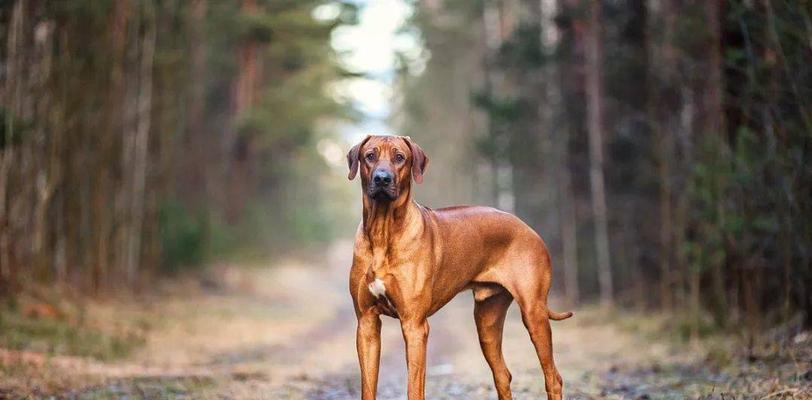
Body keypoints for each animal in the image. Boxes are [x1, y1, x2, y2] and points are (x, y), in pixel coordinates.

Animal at [348, 135, 572, 400]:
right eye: (370, 156)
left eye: (399, 157)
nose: (382, 178)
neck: (383, 232)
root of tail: (528, 228)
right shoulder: (366, 323)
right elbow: (367, 386)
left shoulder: (414, 325)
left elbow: (414, 387)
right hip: (487, 320)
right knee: (502, 374)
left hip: (534, 313)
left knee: (553, 377)